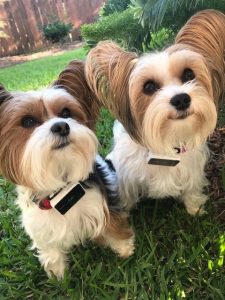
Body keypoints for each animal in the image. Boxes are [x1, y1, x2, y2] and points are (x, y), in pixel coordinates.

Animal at [0, 60, 134, 278]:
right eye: (28, 121)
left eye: (65, 113)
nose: (61, 126)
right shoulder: (40, 225)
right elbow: (51, 249)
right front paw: (58, 275)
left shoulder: (100, 204)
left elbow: (112, 224)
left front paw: (124, 248)